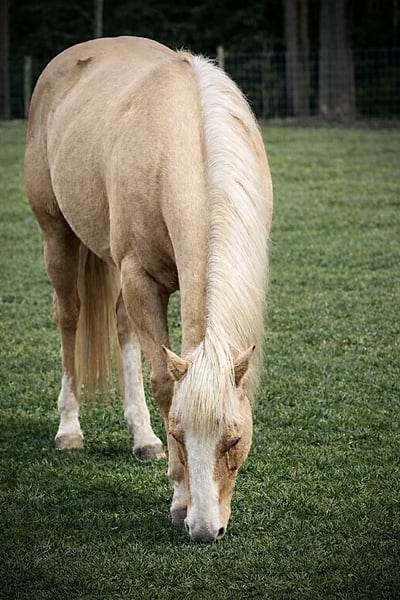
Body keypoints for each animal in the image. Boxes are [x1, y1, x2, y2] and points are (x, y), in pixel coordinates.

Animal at [24, 36, 273, 543]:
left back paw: (141, 437)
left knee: (121, 329)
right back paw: (69, 429)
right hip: (57, 236)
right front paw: (179, 500)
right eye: (179, 434)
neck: (185, 142)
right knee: (69, 318)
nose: (205, 530)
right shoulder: (141, 278)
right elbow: (162, 383)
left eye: (235, 438)